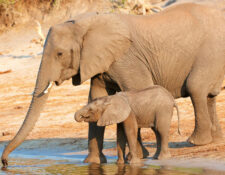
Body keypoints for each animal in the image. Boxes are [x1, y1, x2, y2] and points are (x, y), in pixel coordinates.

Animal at [0, 2, 224, 167]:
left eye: (60, 54)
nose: (5, 162)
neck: (86, 23)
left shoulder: (127, 59)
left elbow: (135, 92)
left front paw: (138, 157)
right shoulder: (99, 62)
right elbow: (95, 97)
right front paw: (92, 163)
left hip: (210, 52)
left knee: (196, 87)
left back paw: (195, 142)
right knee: (209, 95)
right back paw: (215, 140)